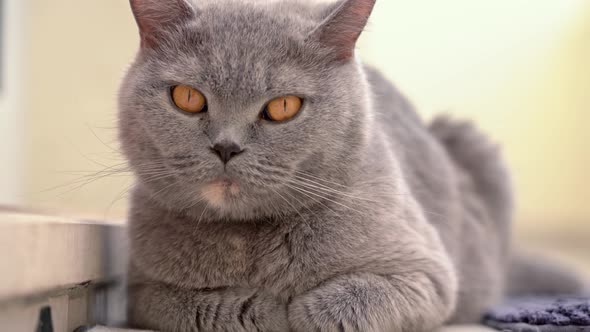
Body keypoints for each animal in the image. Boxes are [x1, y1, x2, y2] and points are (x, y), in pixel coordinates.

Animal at [118, 0, 584, 332]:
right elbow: (188, 305)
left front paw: (299, 310)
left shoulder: (427, 273)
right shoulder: (141, 292)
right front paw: (266, 309)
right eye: (187, 98)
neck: (250, 243)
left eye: (283, 107)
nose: (226, 147)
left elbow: (349, 303)